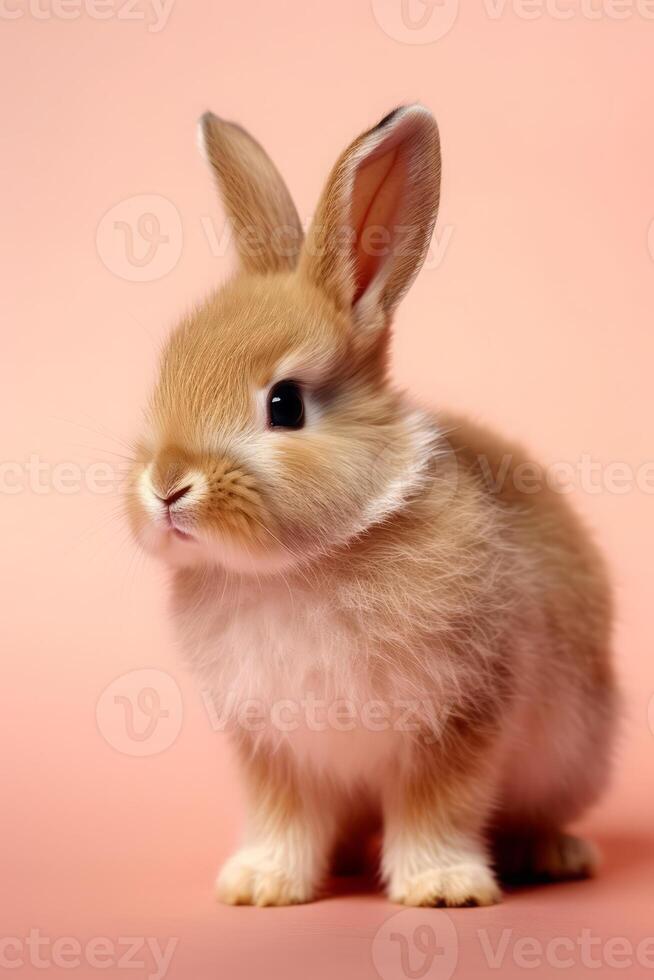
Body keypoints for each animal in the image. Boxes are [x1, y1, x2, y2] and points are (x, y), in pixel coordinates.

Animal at [127, 103, 620, 908]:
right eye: (164, 379)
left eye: (285, 404)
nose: (167, 484)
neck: (304, 565)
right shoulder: (273, 746)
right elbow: (286, 816)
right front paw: (260, 886)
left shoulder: (456, 719)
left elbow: (437, 807)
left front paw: (444, 889)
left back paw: (551, 853)